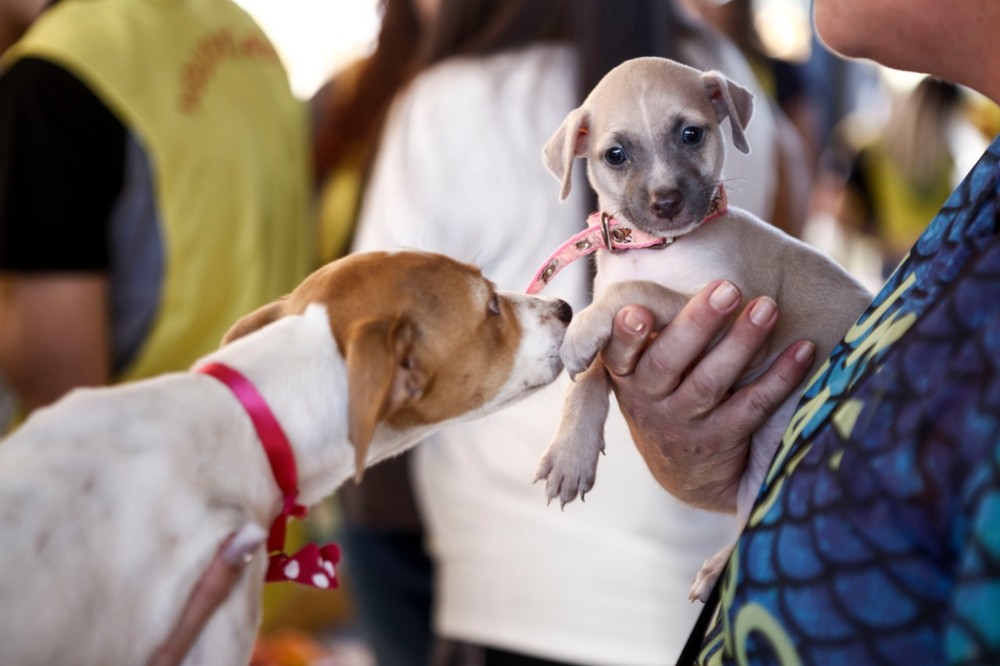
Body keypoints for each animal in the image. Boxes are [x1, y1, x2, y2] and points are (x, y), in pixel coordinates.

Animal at [536, 55, 872, 596]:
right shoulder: (627, 335)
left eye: (691, 134)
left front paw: (582, 331)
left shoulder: (731, 305)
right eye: (615, 155)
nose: (666, 202)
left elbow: (631, 292)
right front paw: (571, 452)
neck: (655, 251)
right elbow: (590, 376)